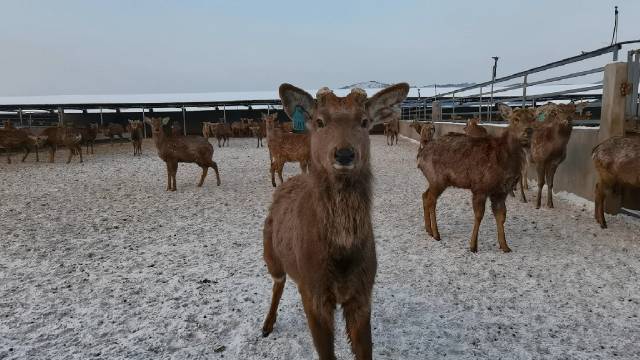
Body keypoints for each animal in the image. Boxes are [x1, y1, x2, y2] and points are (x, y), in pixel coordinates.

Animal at [262, 82, 408, 360]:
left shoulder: (363, 292)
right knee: (278, 282)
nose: (344, 153)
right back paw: (266, 325)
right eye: (319, 121)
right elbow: (325, 352)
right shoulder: (314, 293)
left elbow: (365, 350)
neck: (341, 257)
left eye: (364, 121)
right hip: (270, 255)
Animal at [416, 102, 536, 252]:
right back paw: (436, 234)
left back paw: (428, 230)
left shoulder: (501, 192)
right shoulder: (480, 186)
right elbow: (479, 215)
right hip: (438, 179)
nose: (529, 130)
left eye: (533, 118)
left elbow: (501, 216)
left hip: (434, 180)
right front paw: (473, 246)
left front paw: (505, 246)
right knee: (431, 200)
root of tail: (420, 157)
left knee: (424, 195)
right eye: (516, 119)